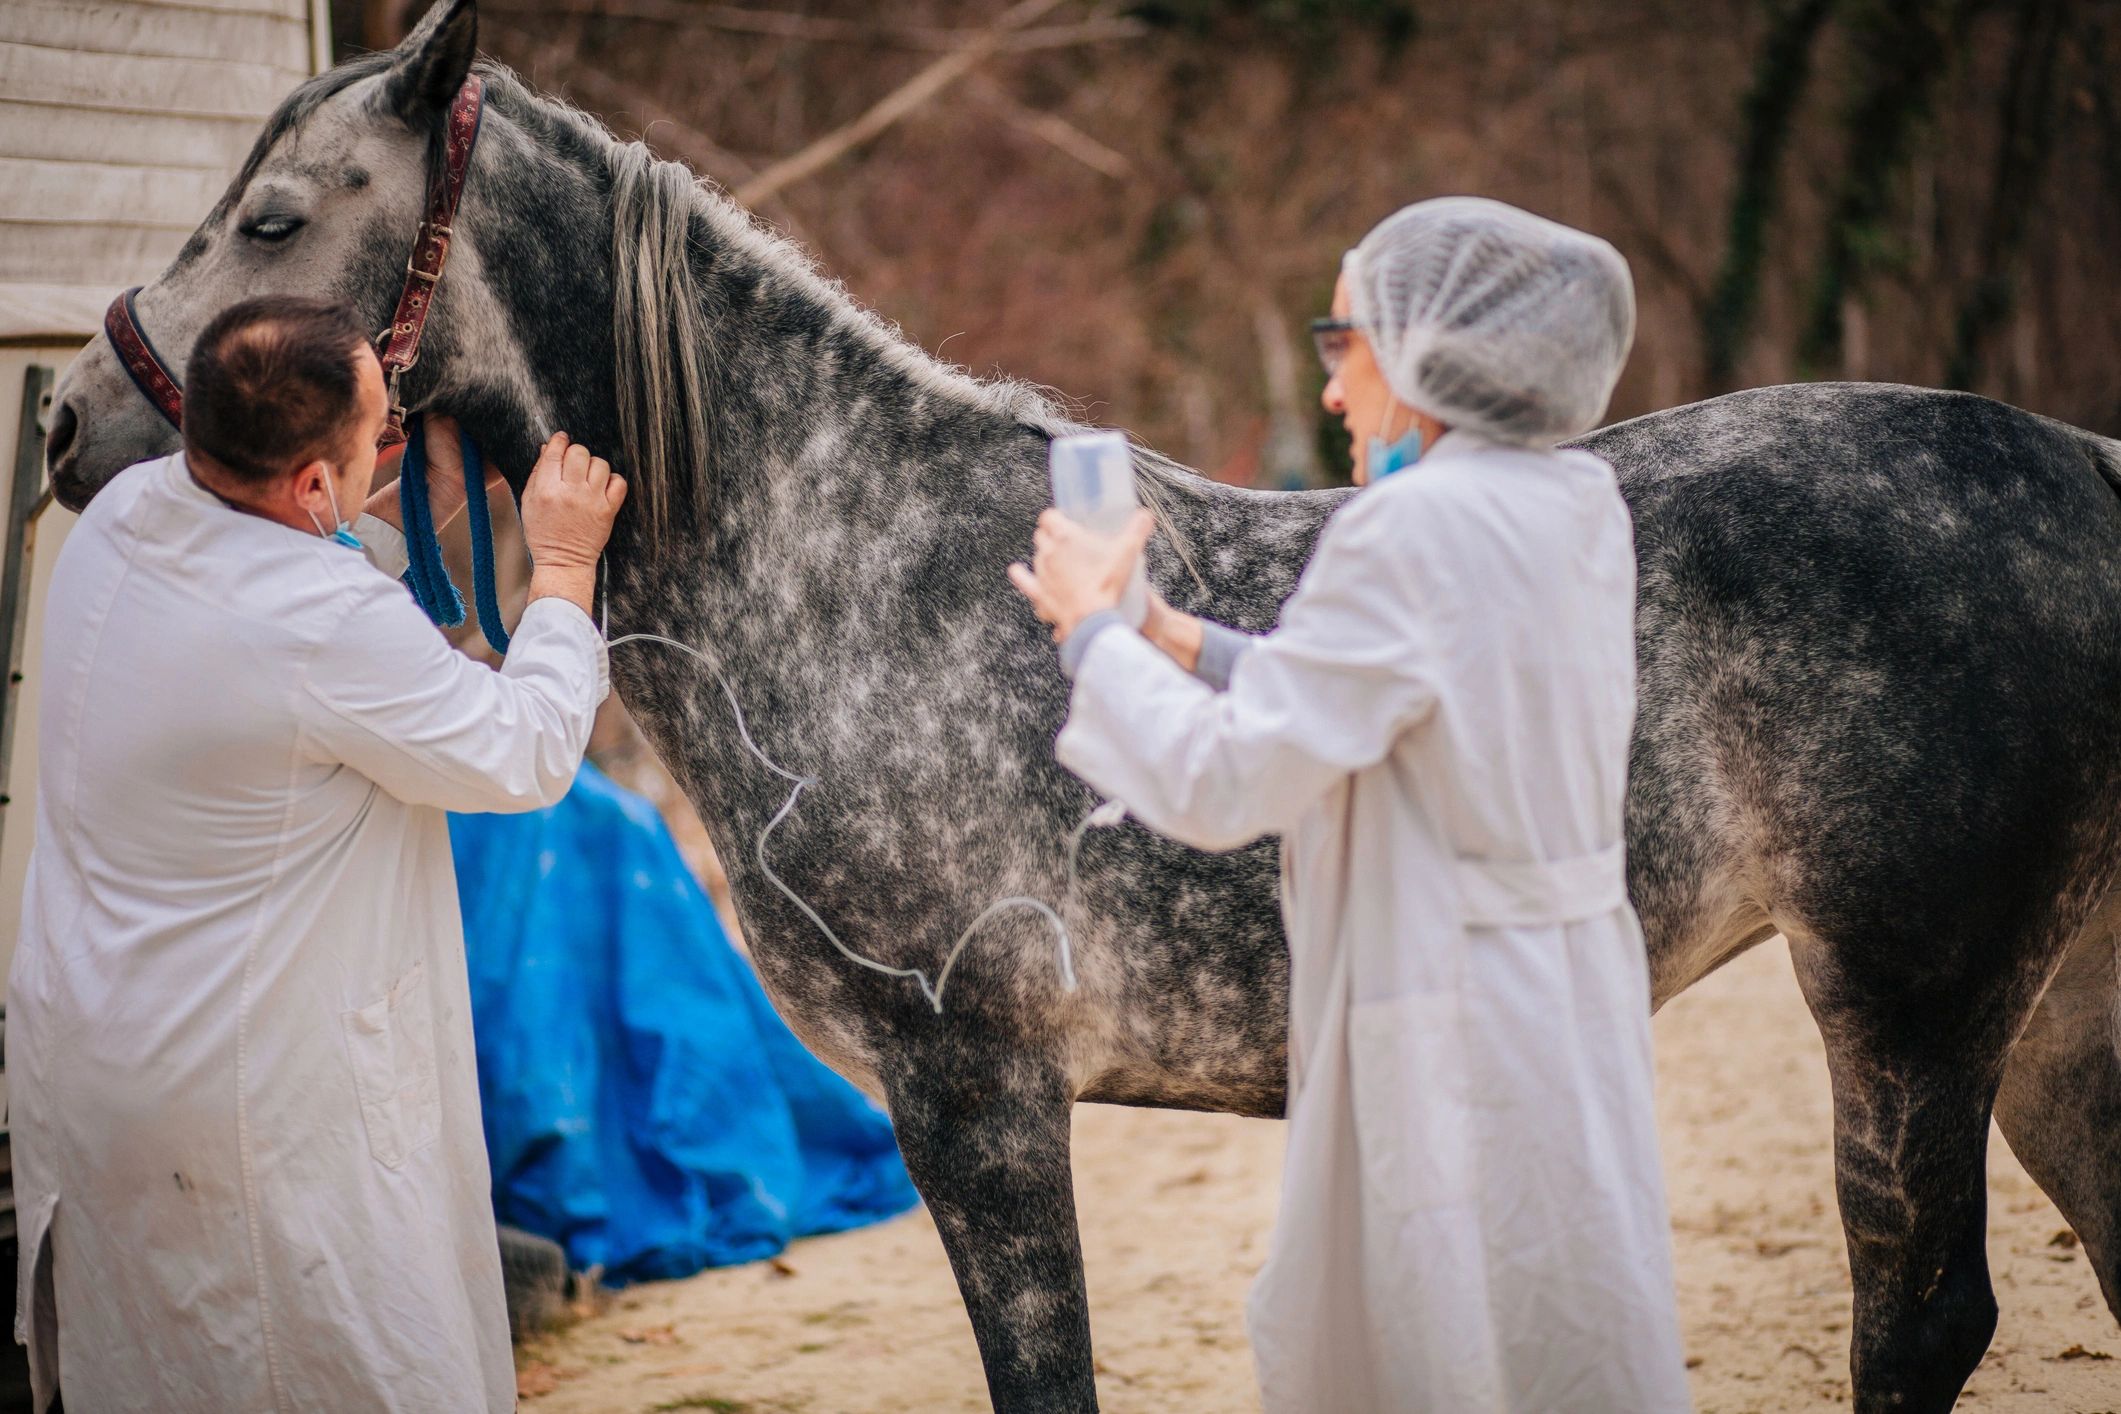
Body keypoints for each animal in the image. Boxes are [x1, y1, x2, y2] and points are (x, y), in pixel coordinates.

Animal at [43, 4, 2121, 1408]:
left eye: (274, 219)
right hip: (2040, 1022)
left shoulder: (974, 1082)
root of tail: (2078, 465)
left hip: (1908, 1004)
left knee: (1921, 1308)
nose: (69, 418)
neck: (838, 557)